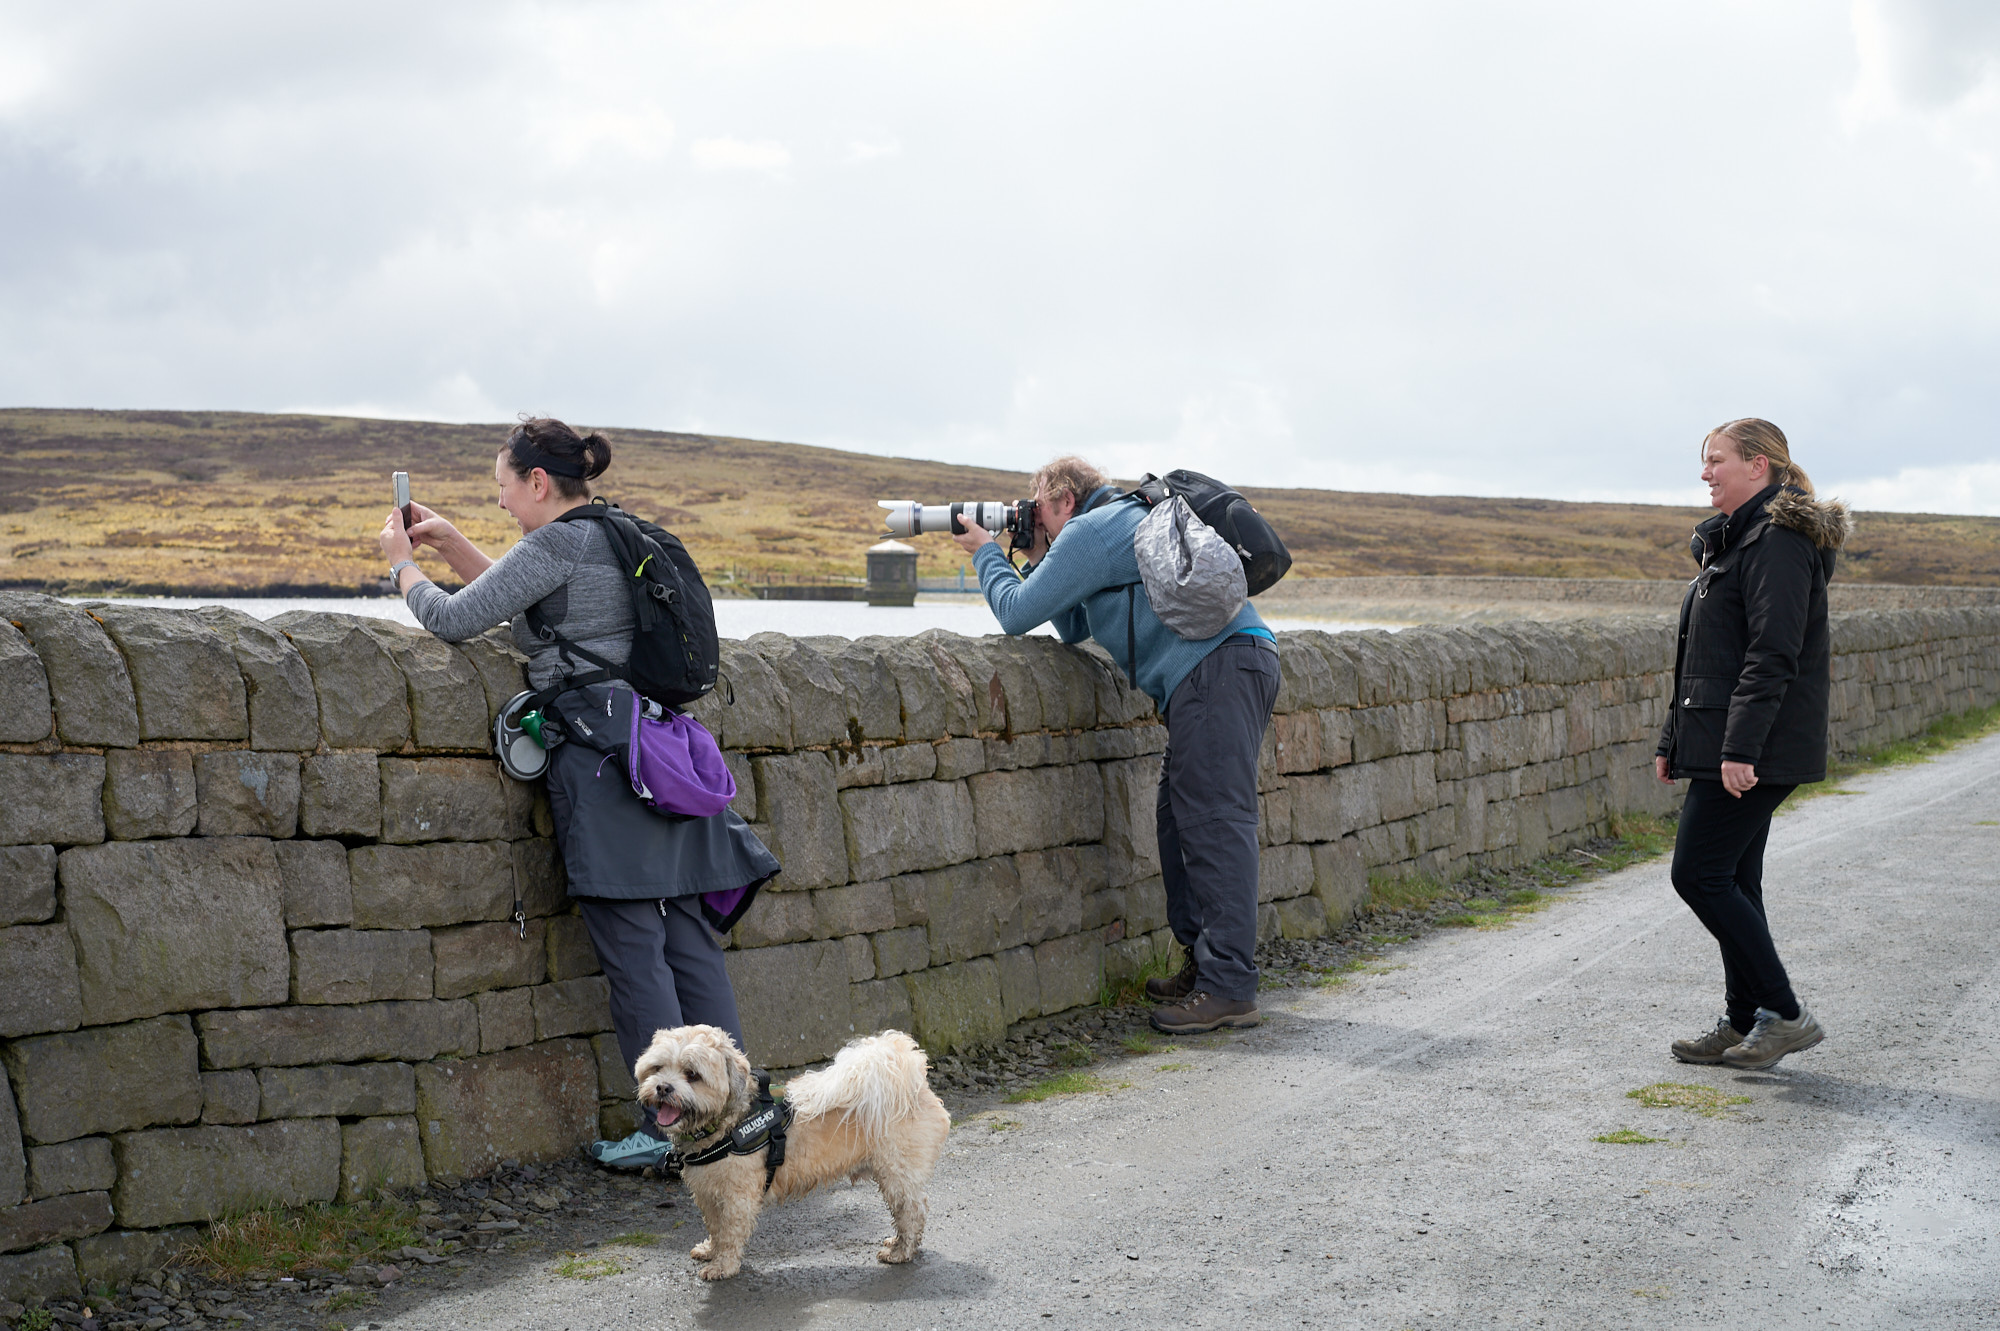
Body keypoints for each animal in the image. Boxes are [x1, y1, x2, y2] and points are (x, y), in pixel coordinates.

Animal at [640, 1023, 952, 1279]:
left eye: (692, 1074)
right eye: (657, 1068)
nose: (663, 1087)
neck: (728, 1122)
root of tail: (914, 1083)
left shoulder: (737, 1198)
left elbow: (729, 1234)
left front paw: (723, 1266)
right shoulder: (708, 1195)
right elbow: (716, 1229)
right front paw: (710, 1250)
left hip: (898, 1174)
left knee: (912, 1211)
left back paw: (902, 1251)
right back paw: (898, 1244)